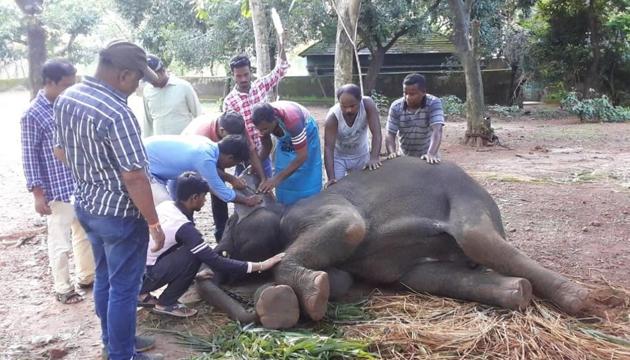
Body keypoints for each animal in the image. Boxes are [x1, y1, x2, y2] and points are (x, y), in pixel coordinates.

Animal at [196, 158, 592, 330]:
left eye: (231, 228)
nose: (246, 171)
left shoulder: (315, 208)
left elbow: (350, 228)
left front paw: (294, 298)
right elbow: (343, 279)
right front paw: (289, 301)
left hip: (468, 199)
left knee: (478, 240)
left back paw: (582, 300)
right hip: (425, 268)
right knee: (436, 277)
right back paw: (519, 292)